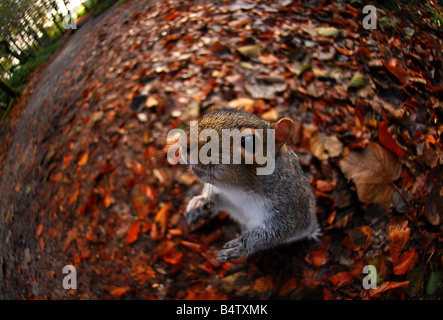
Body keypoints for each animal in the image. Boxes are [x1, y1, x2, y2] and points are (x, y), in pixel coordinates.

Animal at [182, 109, 320, 262]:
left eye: (249, 142)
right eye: (210, 114)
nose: (184, 142)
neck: (237, 191)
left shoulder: (290, 210)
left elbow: (280, 231)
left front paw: (243, 244)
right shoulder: (225, 195)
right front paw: (200, 203)